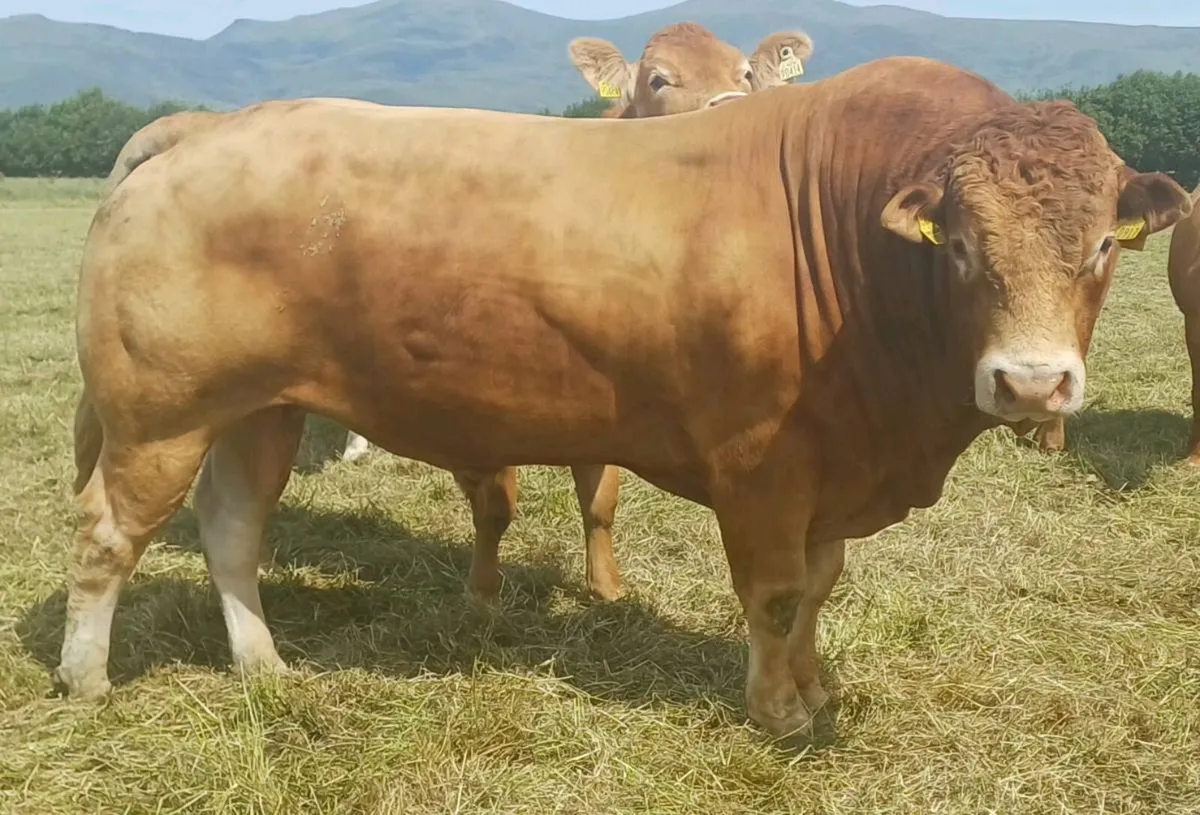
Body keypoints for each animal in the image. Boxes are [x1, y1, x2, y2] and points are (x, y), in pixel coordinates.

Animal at [55, 57, 1191, 741]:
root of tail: (208, 126)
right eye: (957, 245)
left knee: (232, 527)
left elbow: (818, 592)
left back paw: (264, 666)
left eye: (1103, 243)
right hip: (159, 417)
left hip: (259, 408)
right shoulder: (764, 467)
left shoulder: (833, 470)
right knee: (108, 536)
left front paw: (814, 685)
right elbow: (775, 594)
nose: (1032, 381)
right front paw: (778, 711)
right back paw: (85, 677)